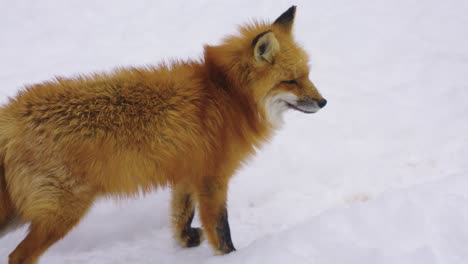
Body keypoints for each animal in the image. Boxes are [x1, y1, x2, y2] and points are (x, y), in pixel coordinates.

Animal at [0, 6, 326, 264]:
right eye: (291, 81)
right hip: (60, 214)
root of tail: (11, 114)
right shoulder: (213, 180)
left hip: (22, 213)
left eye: (308, 75)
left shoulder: (188, 173)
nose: (324, 102)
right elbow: (221, 230)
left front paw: (187, 241)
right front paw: (234, 257)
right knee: (18, 256)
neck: (227, 94)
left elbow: (182, 215)